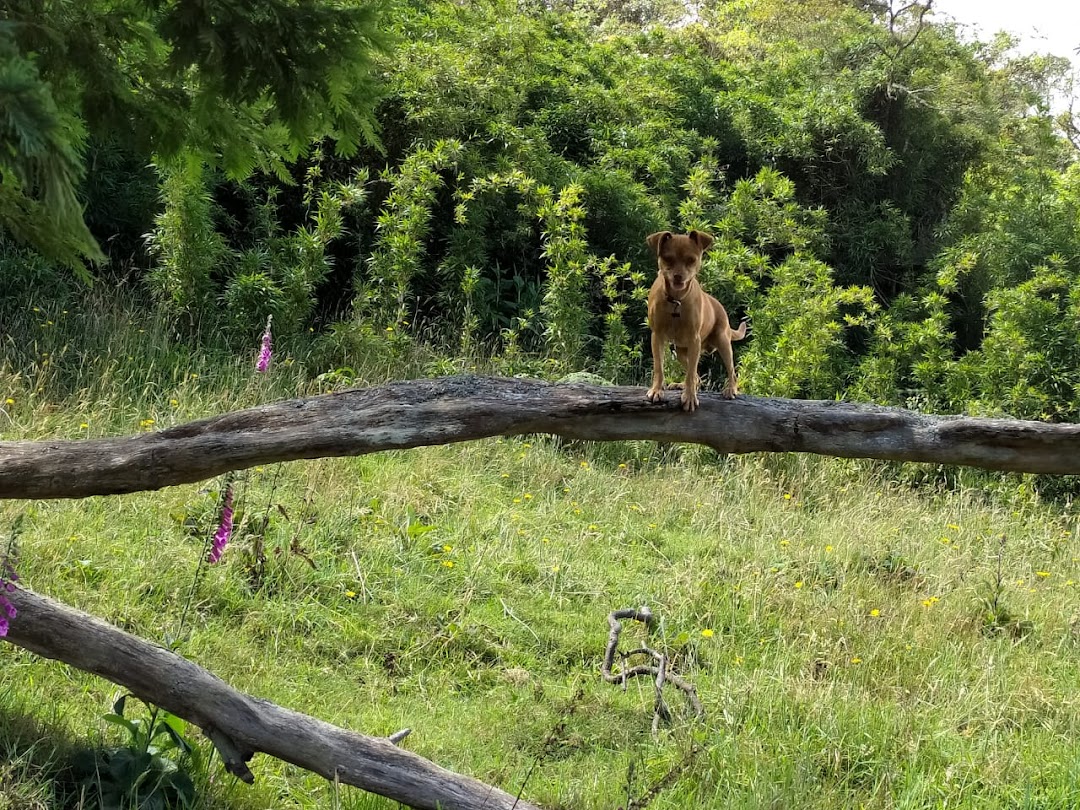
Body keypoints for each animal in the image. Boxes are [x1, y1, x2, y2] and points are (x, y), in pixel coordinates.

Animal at [643, 230, 747, 412]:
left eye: (691, 259)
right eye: (667, 258)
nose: (678, 276)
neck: (676, 301)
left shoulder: (694, 340)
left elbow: (691, 373)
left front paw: (690, 397)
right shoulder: (657, 337)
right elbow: (659, 367)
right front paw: (656, 390)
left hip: (722, 342)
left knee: (730, 371)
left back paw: (730, 389)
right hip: (680, 352)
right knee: (697, 376)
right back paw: (679, 385)